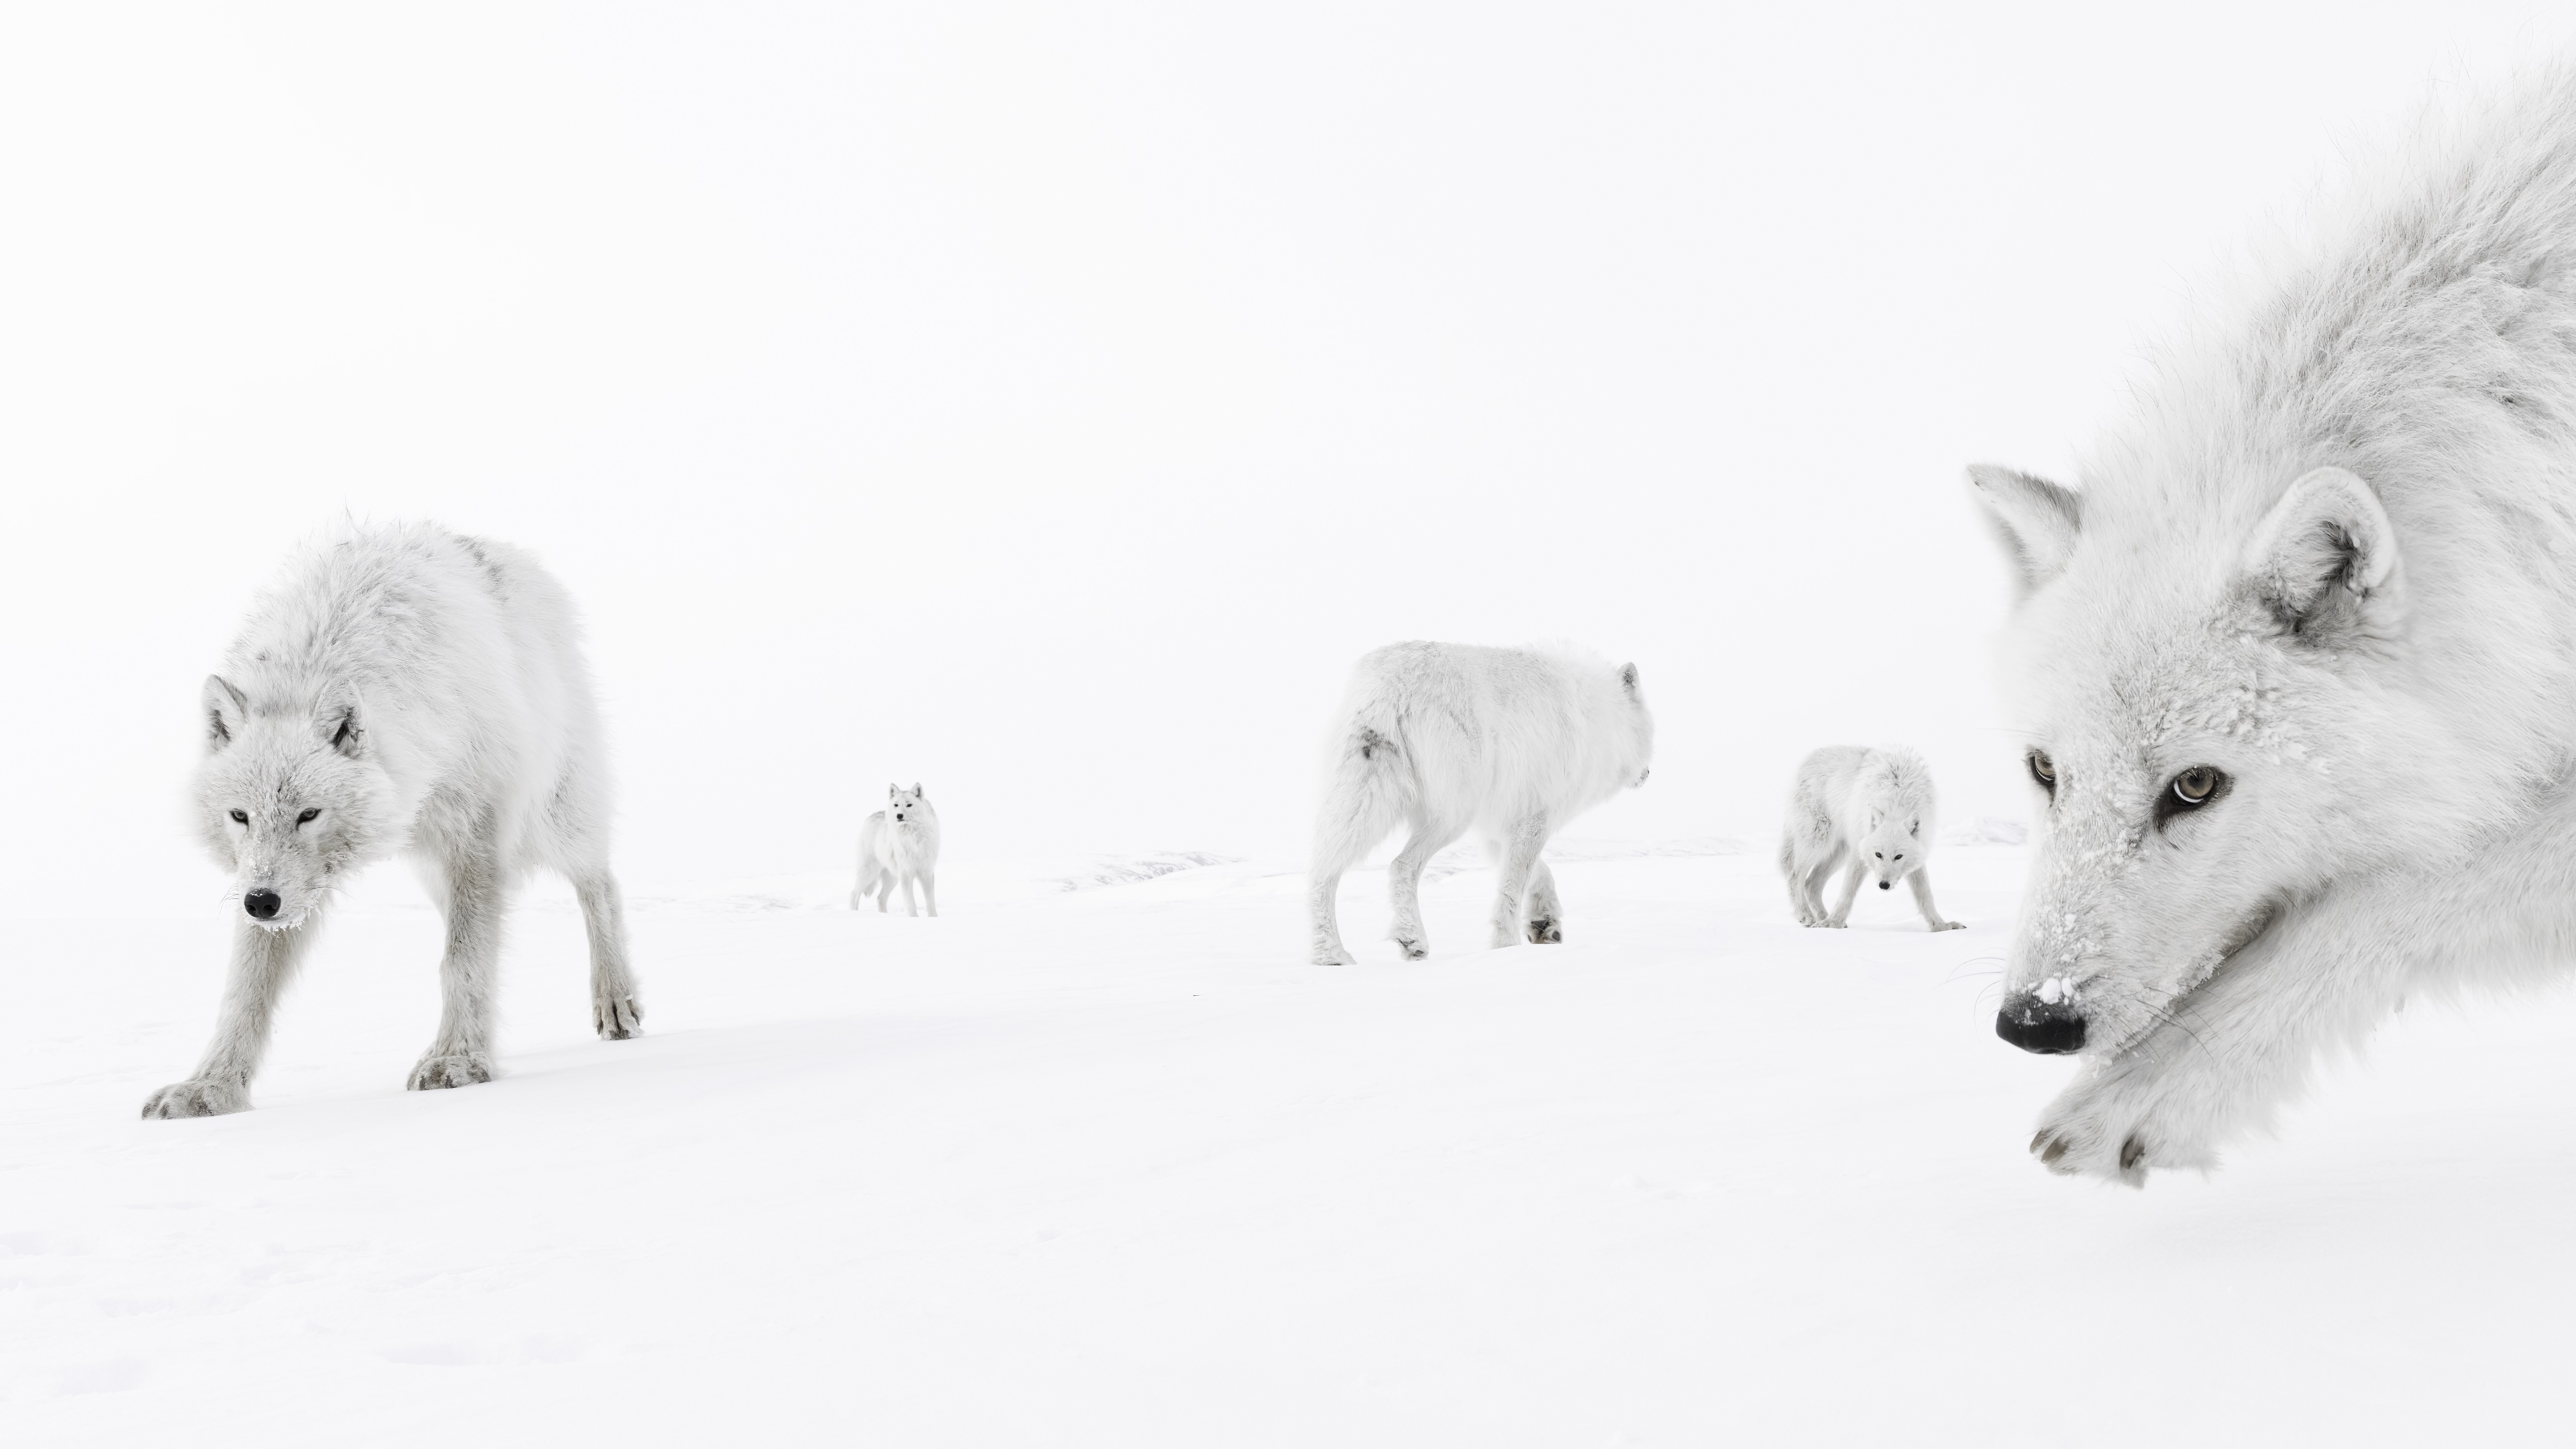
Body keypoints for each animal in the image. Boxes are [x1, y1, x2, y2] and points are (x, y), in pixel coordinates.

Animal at [141, 523, 642, 1119]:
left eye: (309, 814)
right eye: (240, 816)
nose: (261, 903)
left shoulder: (474, 837)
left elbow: (462, 960)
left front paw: (457, 1060)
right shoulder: (274, 885)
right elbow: (245, 991)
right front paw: (209, 1088)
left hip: (551, 819)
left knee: (601, 884)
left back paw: (616, 1000)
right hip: (431, 869)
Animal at [851, 784, 941, 916]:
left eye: (909, 805)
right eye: (896, 805)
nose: (899, 816)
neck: (913, 838)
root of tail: (872, 816)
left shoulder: (927, 873)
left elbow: (931, 903)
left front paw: (934, 917)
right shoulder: (906, 875)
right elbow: (910, 903)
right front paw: (914, 917)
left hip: (893, 879)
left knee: (880, 898)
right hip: (870, 873)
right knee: (854, 894)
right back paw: (853, 913)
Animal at [1306, 640, 1654, 966]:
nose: (1648, 775)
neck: (1599, 718)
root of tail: (1395, 681)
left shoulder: (1500, 826)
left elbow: (1540, 873)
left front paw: (1544, 923)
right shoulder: (1535, 819)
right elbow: (1513, 886)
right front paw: (1506, 947)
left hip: (1364, 801)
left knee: (1323, 871)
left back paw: (1331, 956)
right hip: (1451, 817)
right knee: (1400, 866)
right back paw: (1412, 939)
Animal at [1779, 746, 1962, 932]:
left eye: (1899, 857)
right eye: (1878, 855)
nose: (1884, 885)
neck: (1897, 797)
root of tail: (1808, 759)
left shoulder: (1917, 856)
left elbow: (1926, 895)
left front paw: (1941, 926)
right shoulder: (1859, 853)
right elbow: (1848, 891)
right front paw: (1834, 924)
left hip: (1839, 854)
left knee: (1811, 884)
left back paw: (1822, 918)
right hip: (1820, 841)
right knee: (1795, 877)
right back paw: (1808, 917)